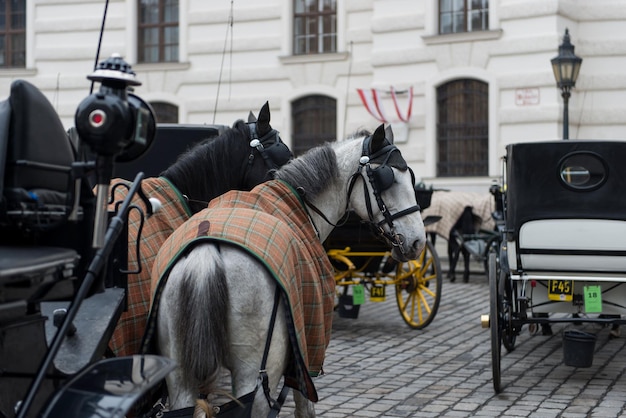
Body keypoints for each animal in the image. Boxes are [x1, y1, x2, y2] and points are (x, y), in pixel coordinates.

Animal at [150, 125, 424, 418]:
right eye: (388, 181)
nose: (418, 242)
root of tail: (206, 253)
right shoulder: (305, 350)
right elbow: (305, 406)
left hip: (180, 376)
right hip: (256, 375)